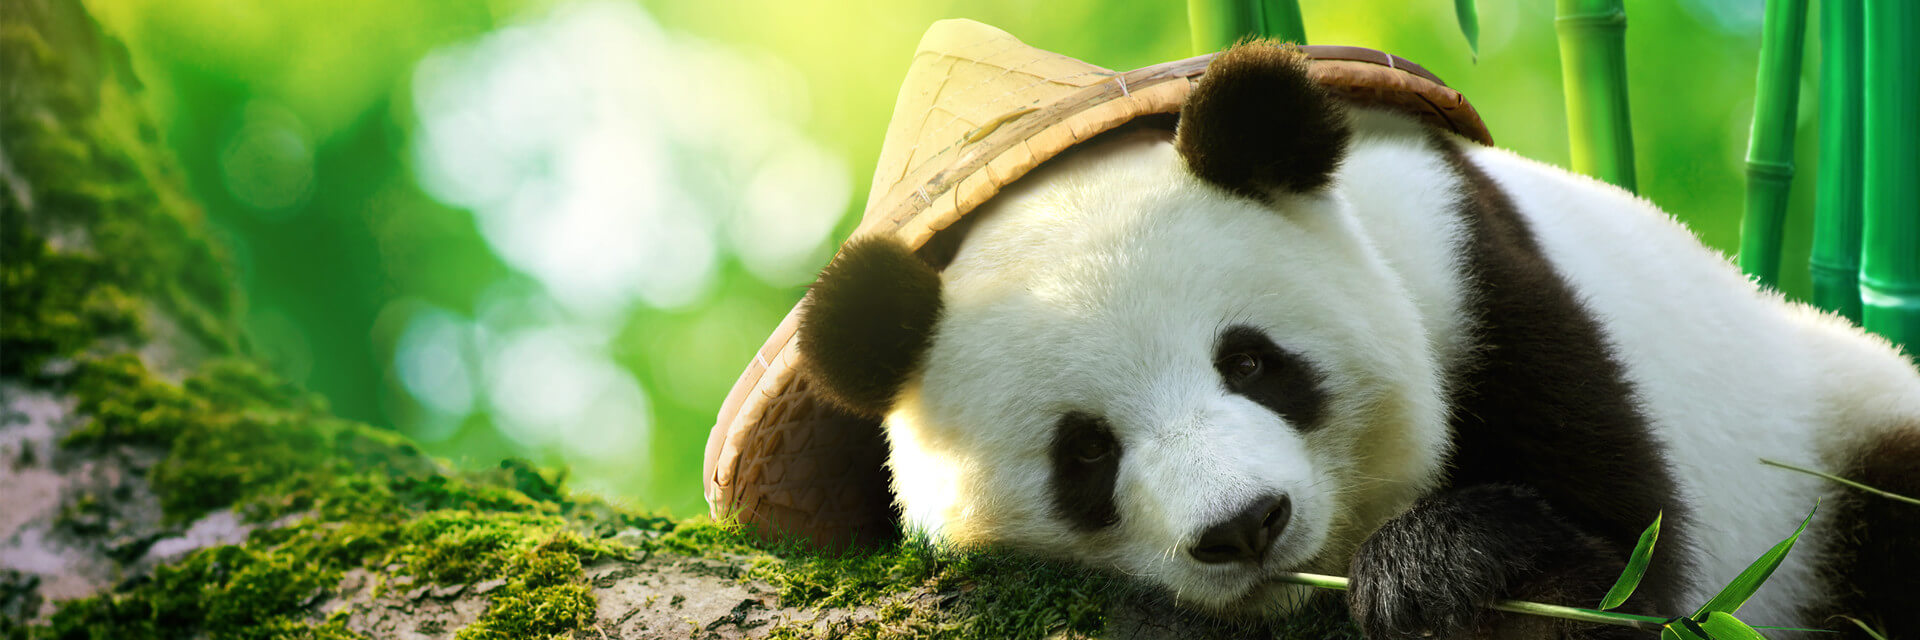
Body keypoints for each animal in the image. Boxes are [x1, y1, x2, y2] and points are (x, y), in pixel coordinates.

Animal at [795, 43, 1920, 639]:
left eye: (1252, 362)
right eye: (1086, 454)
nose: (1245, 526)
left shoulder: (1485, 290)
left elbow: (1626, 573)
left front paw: (1441, 573)